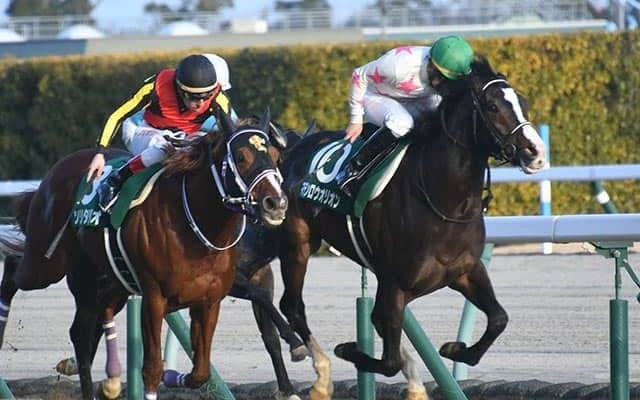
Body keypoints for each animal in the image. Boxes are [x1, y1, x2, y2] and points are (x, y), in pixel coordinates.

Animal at [0, 108, 289, 400]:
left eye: (276, 157)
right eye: (241, 157)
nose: (275, 203)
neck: (196, 227)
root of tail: (56, 171)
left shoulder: (209, 301)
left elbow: (200, 372)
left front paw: (174, 375)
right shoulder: (154, 297)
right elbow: (151, 368)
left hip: (104, 280)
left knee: (83, 334)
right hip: (46, 262)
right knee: (15, 269)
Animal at [239, 55, 546, 400]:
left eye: (522, 102)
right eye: (492, 106)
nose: (535, 153)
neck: (444, 204)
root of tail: (291, 151)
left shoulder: (466, 271)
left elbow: (498, 319)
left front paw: (455, 349)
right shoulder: (395, 284)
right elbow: (387, 359)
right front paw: (349, 349)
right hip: (298, 245)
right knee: (292, 305)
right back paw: (320, 374)